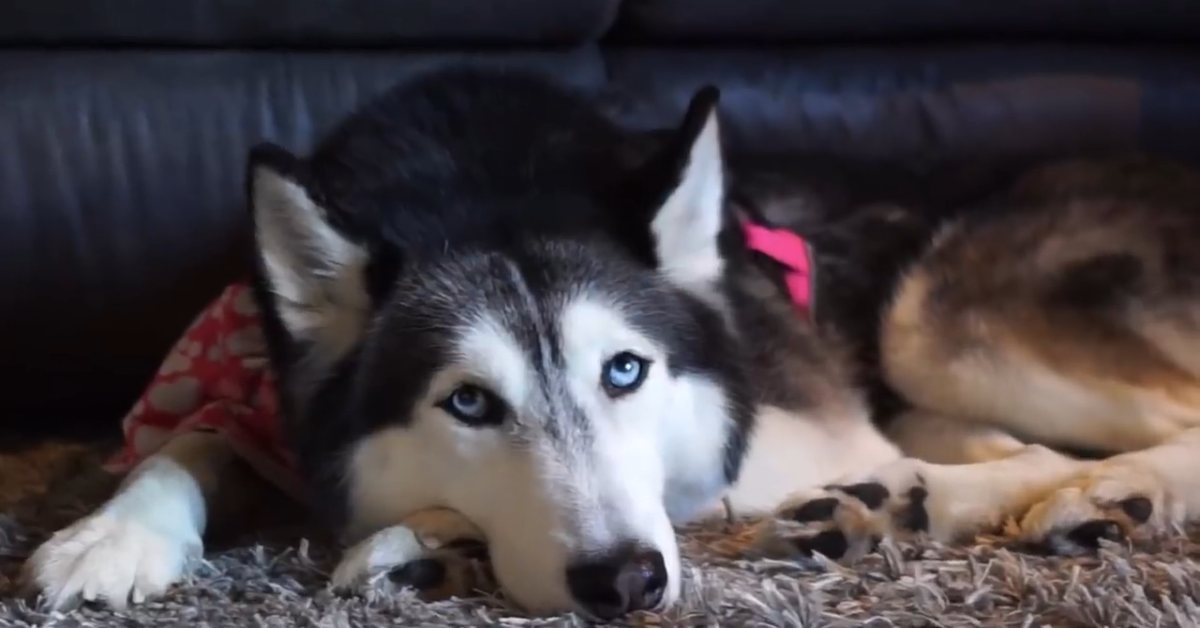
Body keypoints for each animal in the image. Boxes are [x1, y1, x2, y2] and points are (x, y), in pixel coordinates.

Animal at [21, 66, 1200, 619]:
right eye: (469, 401)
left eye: (625, 370)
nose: (628, 584)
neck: (482, 185)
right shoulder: (257, 383)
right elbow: (192, 441)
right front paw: (108, 536)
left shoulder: (762, 431)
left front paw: (414, 541)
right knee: (1009, 453)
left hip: (933, 323)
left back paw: (1096, 494)